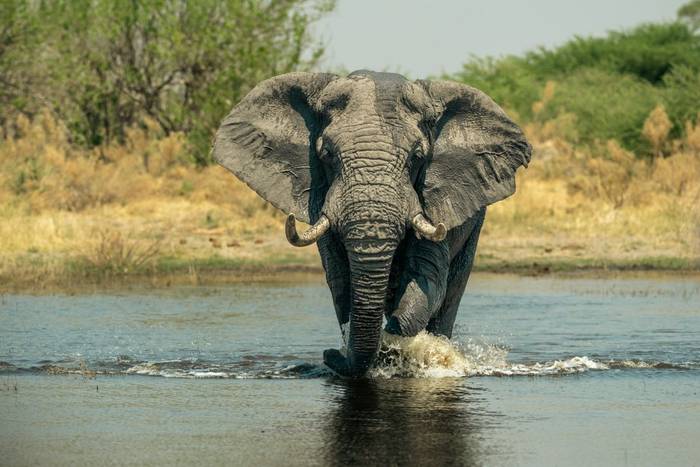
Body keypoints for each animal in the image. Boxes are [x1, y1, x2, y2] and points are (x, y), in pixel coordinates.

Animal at [212, 70, 531, 378]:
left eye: (417, 157)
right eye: (326, 154)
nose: (329, 355)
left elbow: (427, 277)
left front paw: (394, 337)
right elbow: (339, 280)